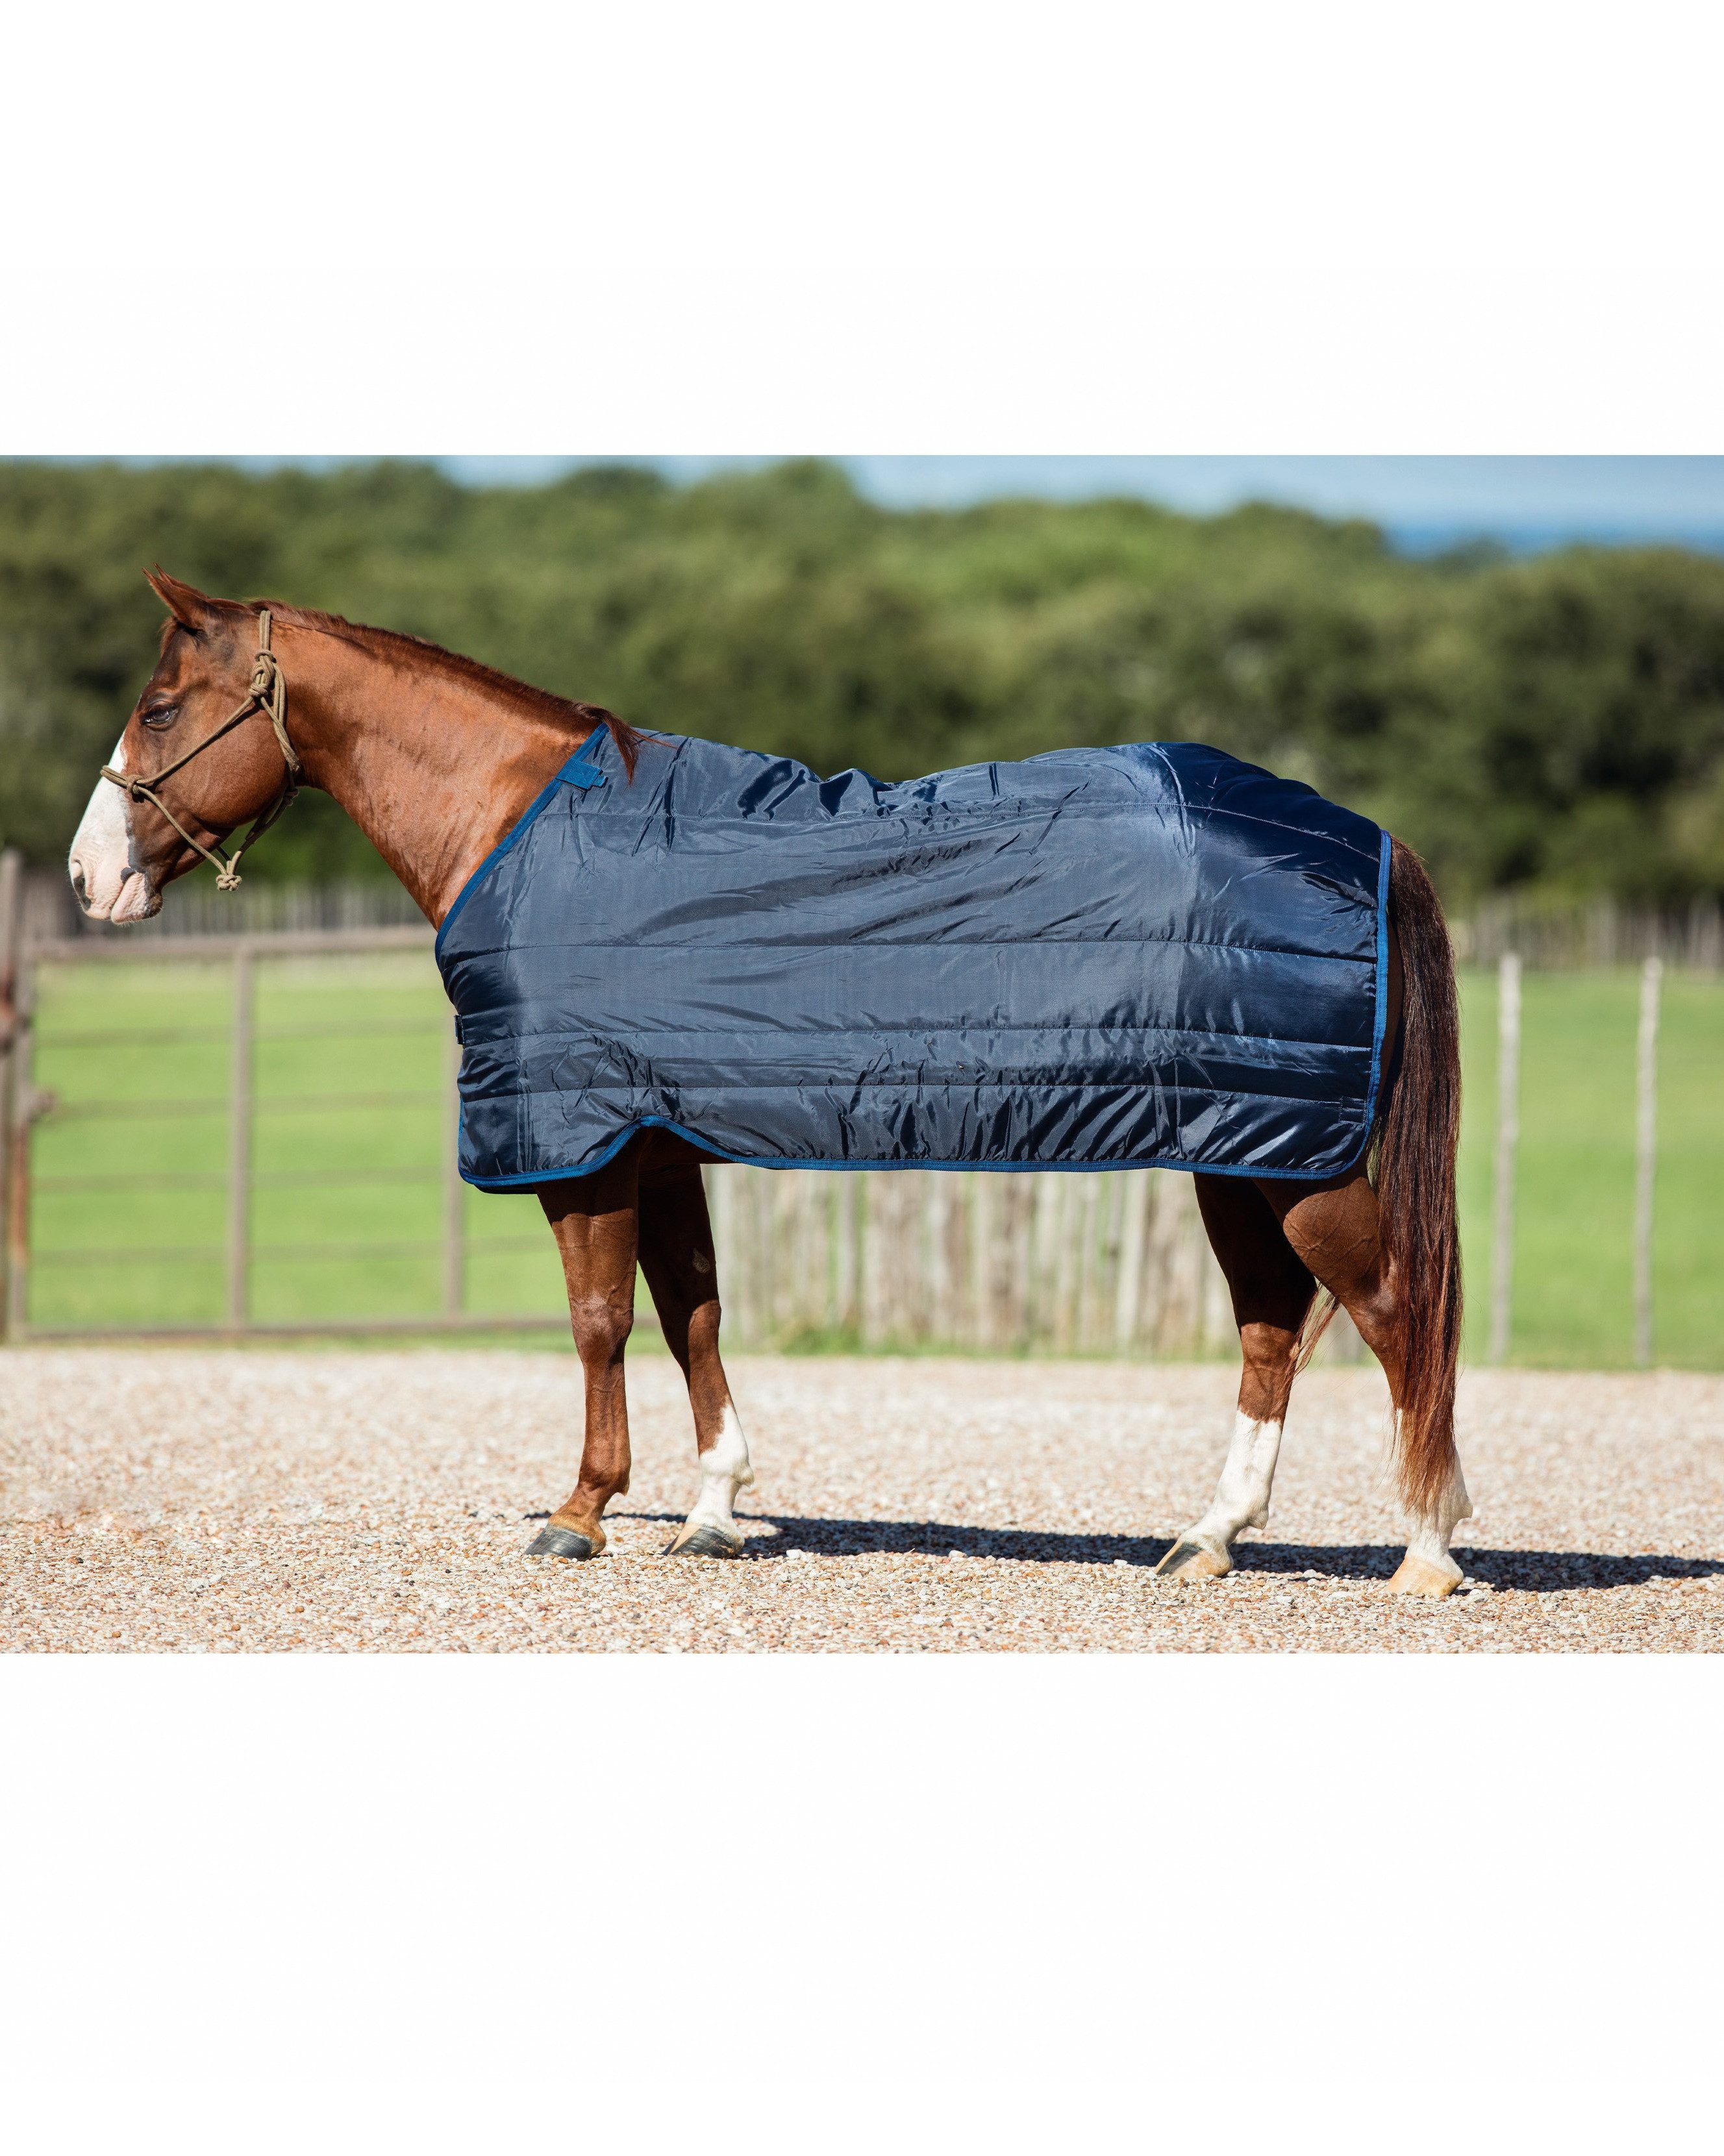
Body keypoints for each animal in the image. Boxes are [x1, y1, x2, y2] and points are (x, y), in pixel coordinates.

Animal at [68, 570, 1472, 1596]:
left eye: (160, 707)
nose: (91, 879)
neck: (525, 827)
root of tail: (1367, 837)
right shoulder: (655, 1137)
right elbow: (693, 1313)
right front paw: (712, 1508)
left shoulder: (584, 1144)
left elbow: (599, 1321)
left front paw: (581, 1511)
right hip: (1243, 1148)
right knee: (1272, 1328)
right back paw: (1209, 1538)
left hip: (1296, 1162)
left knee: (1394, 1311)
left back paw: (1425, 1551)